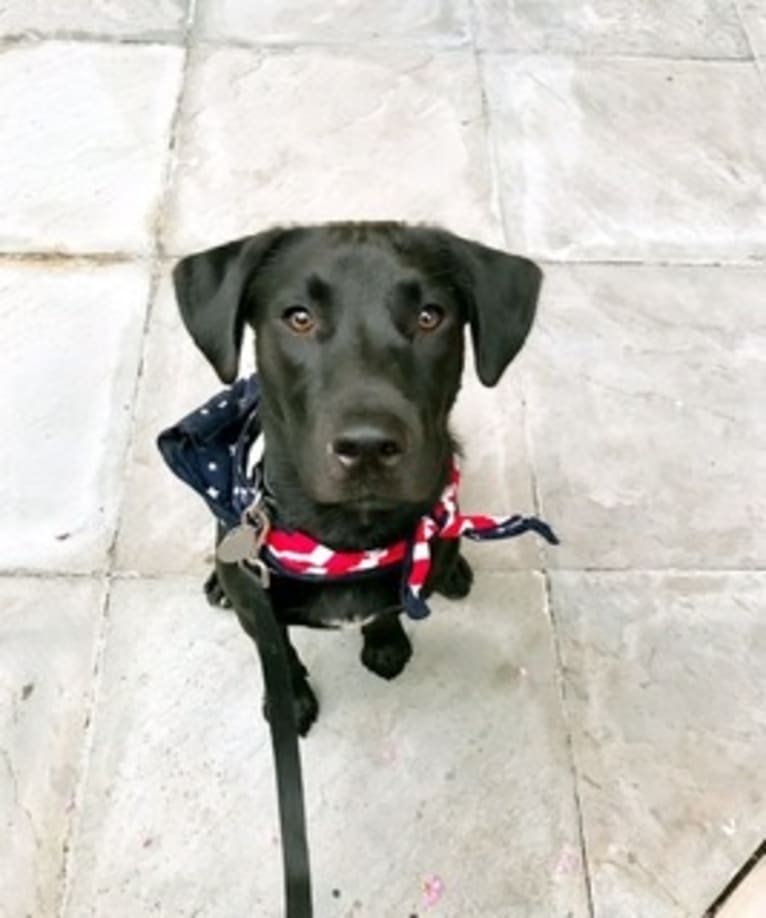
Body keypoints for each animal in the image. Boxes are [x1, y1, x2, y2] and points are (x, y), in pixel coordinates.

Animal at [174, 221, 544, 732]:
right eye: (299, 318)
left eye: (430, 316)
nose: (368, 446)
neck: (348, 542)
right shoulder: (259, 611)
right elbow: (278, 651)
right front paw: (290, 701)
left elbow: (386, 613)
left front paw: (386, 644)